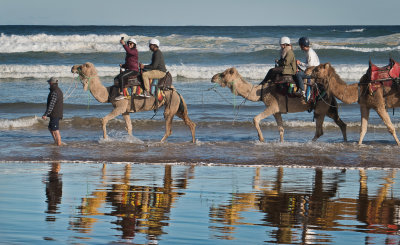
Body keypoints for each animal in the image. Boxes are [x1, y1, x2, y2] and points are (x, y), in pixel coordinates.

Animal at [212, 68, 346, 143]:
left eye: (223, 74)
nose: (212, 77)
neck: (261, 91)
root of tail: (330, 92)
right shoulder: (277, 111)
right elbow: (281, 129)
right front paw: (281, 143)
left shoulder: (272, 105)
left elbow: (255, 119)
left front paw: (261, 139)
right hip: (329, 108)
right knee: (341, 123)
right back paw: (345, 142)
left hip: (321, 107)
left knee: (320, 130)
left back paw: (309, 143)